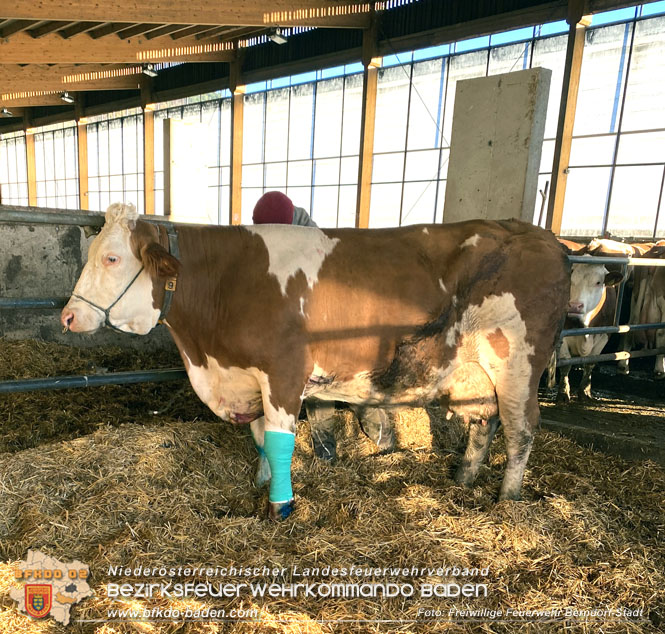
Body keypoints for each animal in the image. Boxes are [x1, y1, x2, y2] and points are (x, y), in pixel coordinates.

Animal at [61, 202, 572, 520]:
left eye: (111, 258)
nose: (68, 316)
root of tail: (545, 238)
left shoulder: (284, 372)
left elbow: (280, 440)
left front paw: (279, 507)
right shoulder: (250, 378)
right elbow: (261, 438)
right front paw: (260, 484)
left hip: (517, 364)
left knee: (521, 429)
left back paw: (506, 498)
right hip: (471, 373)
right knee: (484, 421)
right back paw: (464, 479)